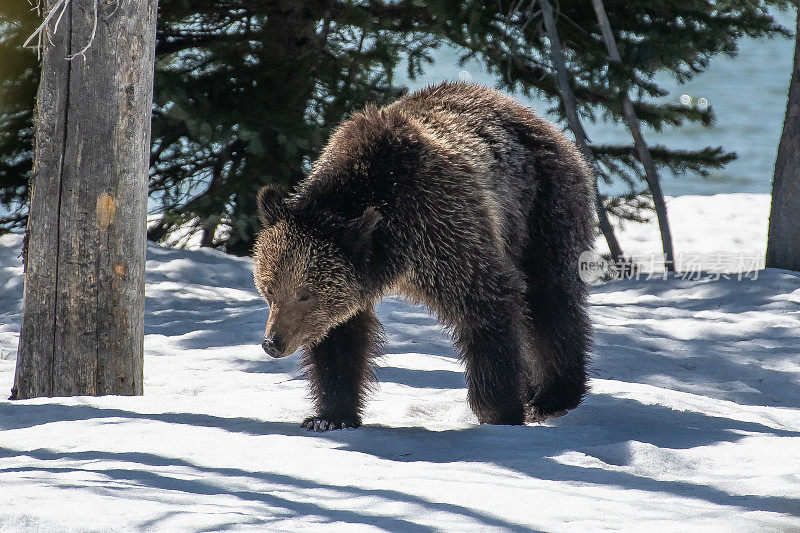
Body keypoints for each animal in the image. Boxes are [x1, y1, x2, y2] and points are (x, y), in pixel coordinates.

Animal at [255, 81, 592, 430]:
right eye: (269, 289)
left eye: (305, 295)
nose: (273, 342)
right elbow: (339, 340)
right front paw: (330, 416)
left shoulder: (441, 226)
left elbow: (487, 301)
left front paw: (499, 411)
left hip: (541, 207)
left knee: (549, 299)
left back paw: (553, 395)